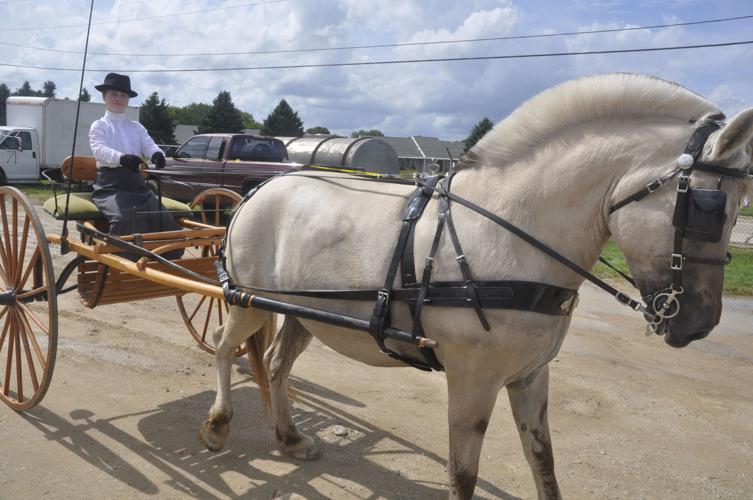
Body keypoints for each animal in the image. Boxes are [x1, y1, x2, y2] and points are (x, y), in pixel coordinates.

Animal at [199, 73, 753, 499]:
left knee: (276, 364)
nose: (699, 324)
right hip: (247, 302)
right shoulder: (472, 380)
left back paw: (291, 438)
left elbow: (543, 460)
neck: (510, 233)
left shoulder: (530, 376)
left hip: (302, 312)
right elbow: (463, 474)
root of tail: (262, 188)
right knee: (225, 347)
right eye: (709, 207)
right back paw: (219, 426)